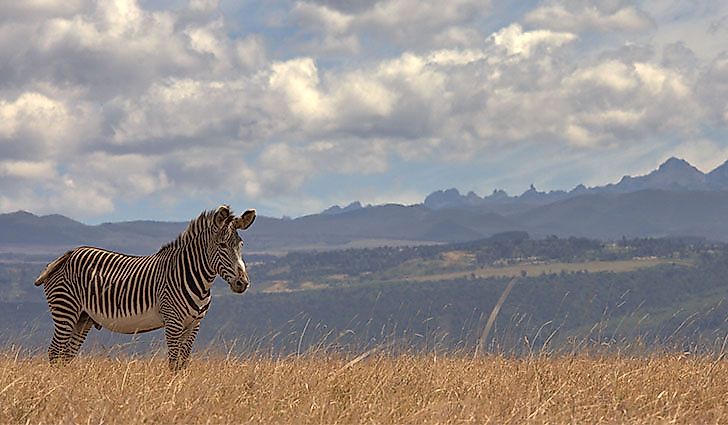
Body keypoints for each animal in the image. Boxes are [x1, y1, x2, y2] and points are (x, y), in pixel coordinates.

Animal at [34, 205, 256, 368]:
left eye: (241, 245)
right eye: (222, 245)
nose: (242, 283)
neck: (197, 279)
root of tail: (68, 254)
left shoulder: (194, 324)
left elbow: (184, 363)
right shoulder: (173, 322)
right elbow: (173, 364)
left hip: (83, 318)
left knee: (66, 356)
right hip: (66, 310)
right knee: (54, 352)